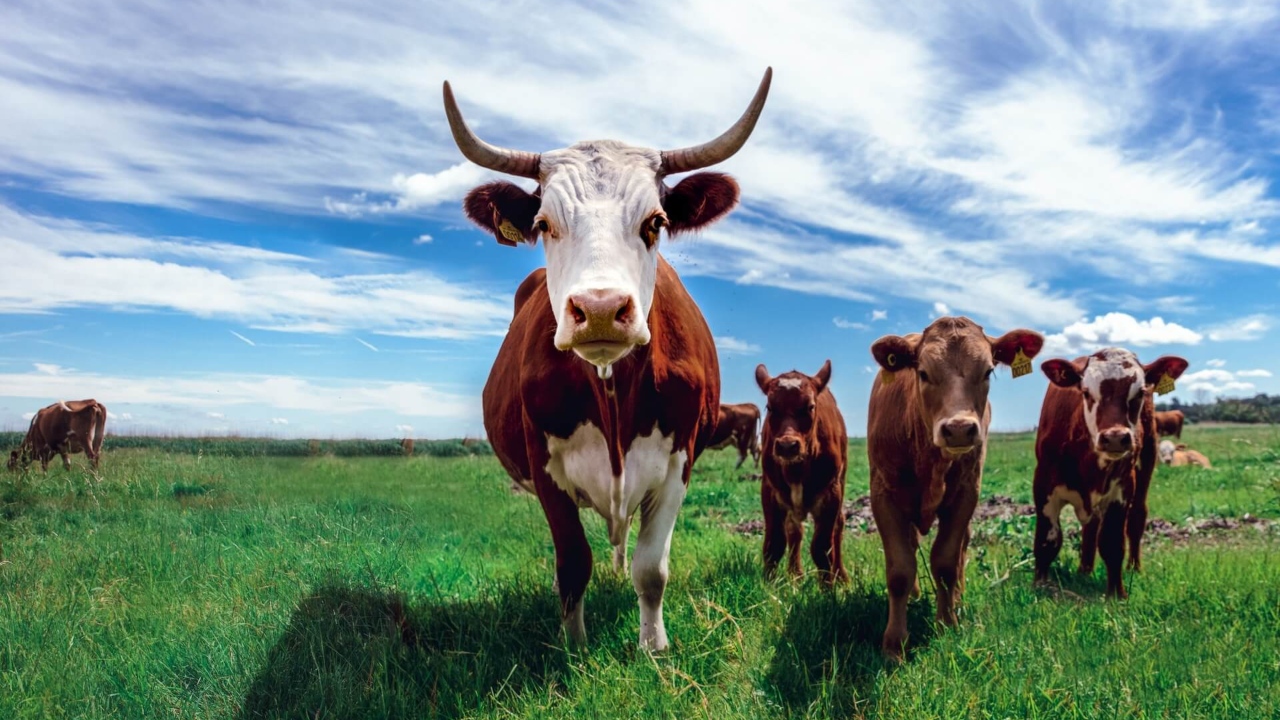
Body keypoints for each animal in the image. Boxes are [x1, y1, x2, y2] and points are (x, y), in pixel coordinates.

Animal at [445, 68, 773, 650]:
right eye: (544, 224)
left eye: (656, 222)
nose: (599, 309)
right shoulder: (544, 466)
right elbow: (573, 563)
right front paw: (574, 645)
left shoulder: (679, 462)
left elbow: (652, 568)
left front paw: (653, 645)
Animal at [752, 358, 844, 584]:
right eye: (770, 407)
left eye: (810, 406)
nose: (787, 445)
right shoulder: (770, 491)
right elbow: (774, 544)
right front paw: (770, 585)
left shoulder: (832, 493)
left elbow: (822, 548)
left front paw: (828, 588)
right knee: (795, 530)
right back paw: (795, 574)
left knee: (838, 527)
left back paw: (841, 577)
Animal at [865, 316, 1044, 661]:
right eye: (922, 372)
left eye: (987, 371)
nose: (959, 429)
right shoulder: (883, 494)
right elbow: (900, 569)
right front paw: (894, 642)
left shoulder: (965, 493)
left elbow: (946, 562)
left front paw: (947, 623)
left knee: (961, 549)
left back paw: (957, 599)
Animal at [1029, 345, 1187, 594]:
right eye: (1086, 392)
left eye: (1139, 392)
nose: (1114, 438)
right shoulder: (1043, 484)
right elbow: (1047, 540)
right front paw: (1041, 587)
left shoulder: (1121, 489)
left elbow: (1112, 544)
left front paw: (1116, 594)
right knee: (1091, 527)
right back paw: (1084, 570)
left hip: (1147, 461)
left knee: (1136, 517)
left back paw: (1134, 567)